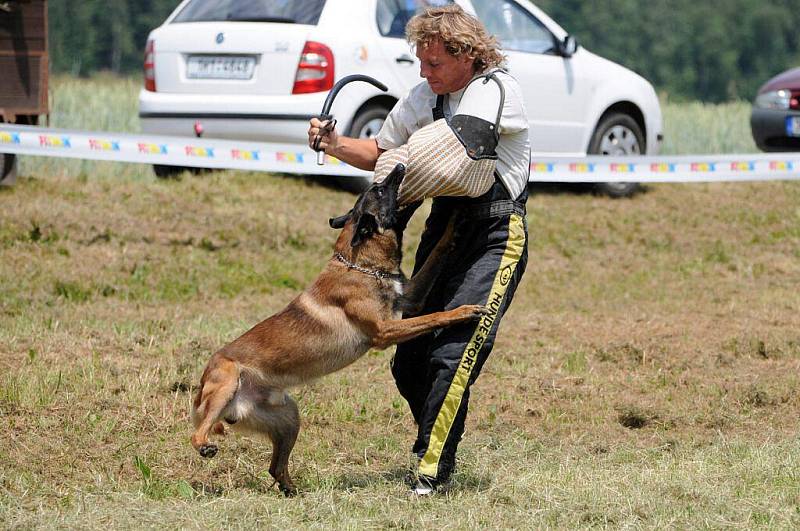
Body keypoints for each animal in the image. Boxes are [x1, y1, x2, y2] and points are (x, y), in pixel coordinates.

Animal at [191, 164, 484, 496]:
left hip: (289, 417)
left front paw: (456, 223)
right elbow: (435, 316)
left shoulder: (410, 298)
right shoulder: (385, 331)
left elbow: (438, 253)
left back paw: (294, 492)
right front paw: (463, 311)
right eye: (380, 190)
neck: (360, 264)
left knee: (275, 467)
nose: (399, 167)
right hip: (226, 384)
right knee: (197, 433)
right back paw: (205, 447)